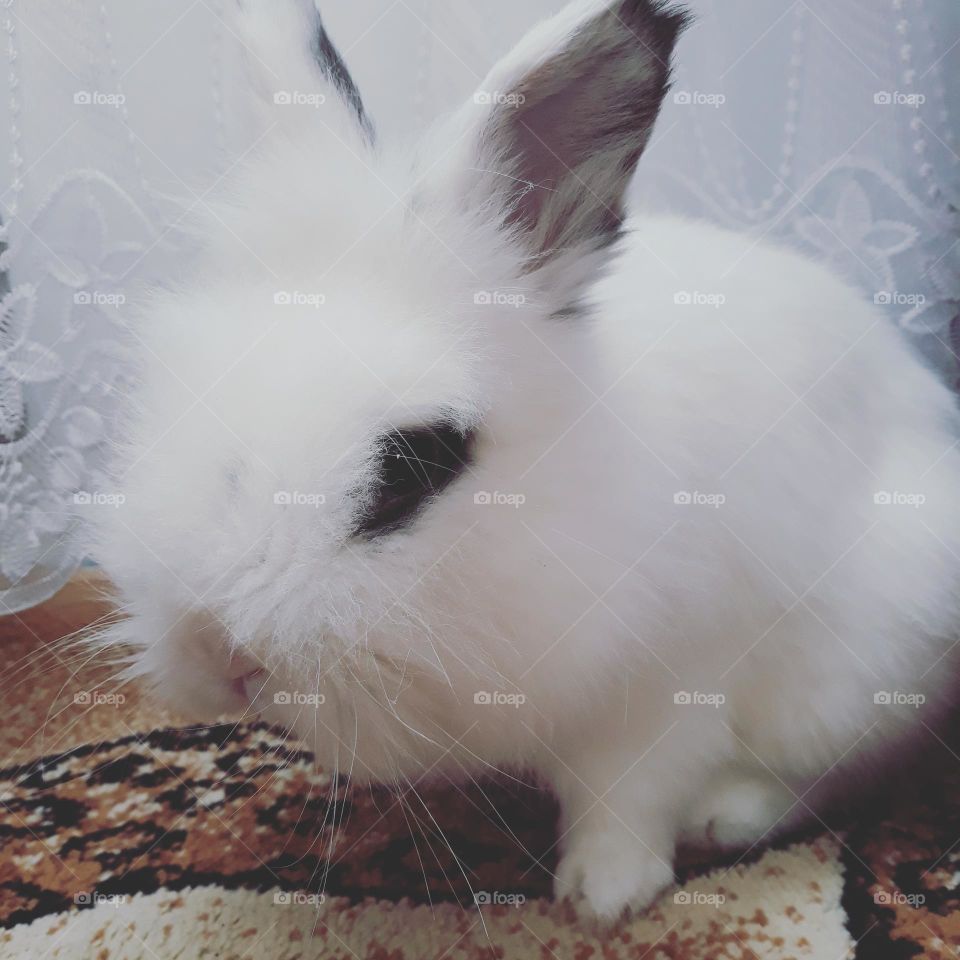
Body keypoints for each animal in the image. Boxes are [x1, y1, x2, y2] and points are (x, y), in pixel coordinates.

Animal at [88, 0, 960, 920]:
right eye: (173, 380)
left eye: (418, 464)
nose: (219, 652)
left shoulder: (670, 680)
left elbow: (630, 793)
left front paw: (602, 894)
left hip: (859, 666)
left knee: (849, 767)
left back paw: (728, 817)